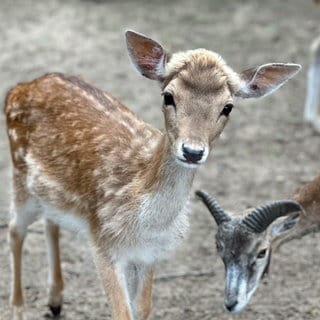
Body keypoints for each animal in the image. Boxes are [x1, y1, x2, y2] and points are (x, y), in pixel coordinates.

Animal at [4, 30, 300, 320]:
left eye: (227, 106)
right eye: (168, 96)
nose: (192, 151)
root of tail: (21, 87)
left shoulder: (149, 254)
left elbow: (143, 309)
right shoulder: (102, 241)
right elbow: (122, 312)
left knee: (49, 222)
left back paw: (55, 301)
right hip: (19, 174)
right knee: (15, 229)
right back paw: (18, 310)